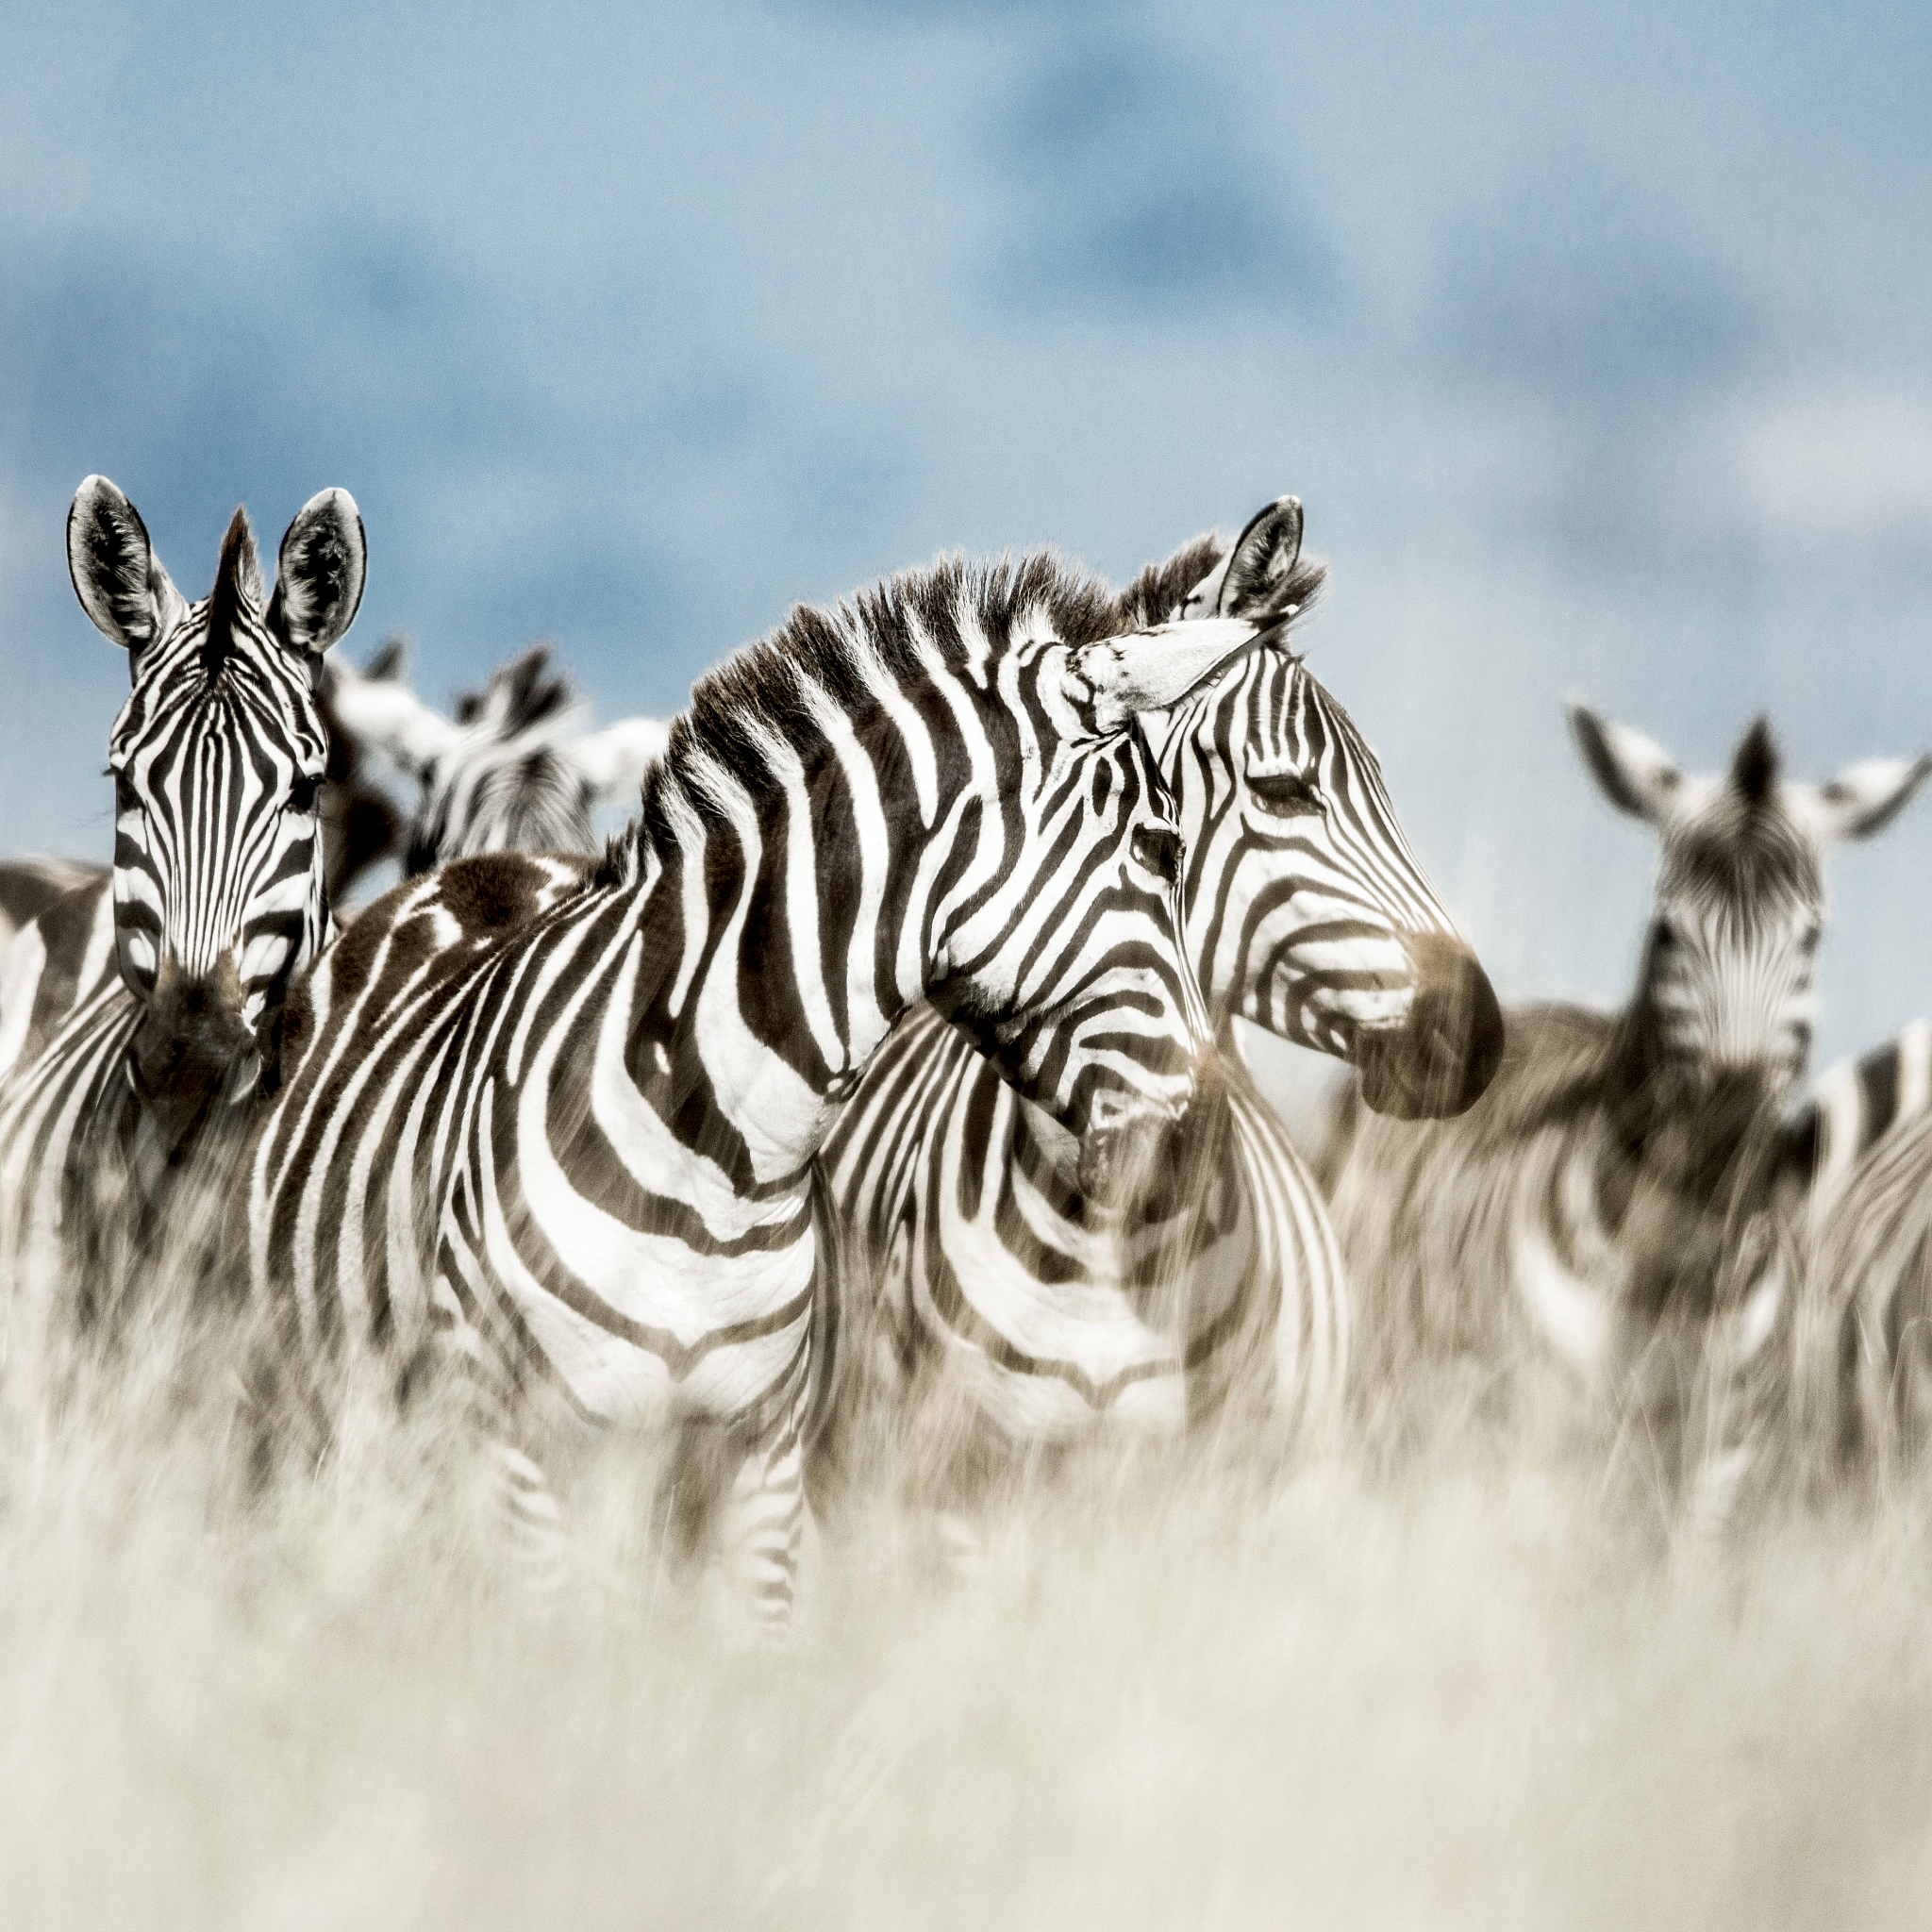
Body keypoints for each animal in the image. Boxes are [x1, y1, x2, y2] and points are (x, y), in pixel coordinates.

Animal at [1323, 707, 1928, 1515]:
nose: (1729, 1128)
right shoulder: (1533, 1452)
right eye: (1667, 932)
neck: (1679, 1276)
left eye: (1811, 938)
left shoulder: (1722, 1469)